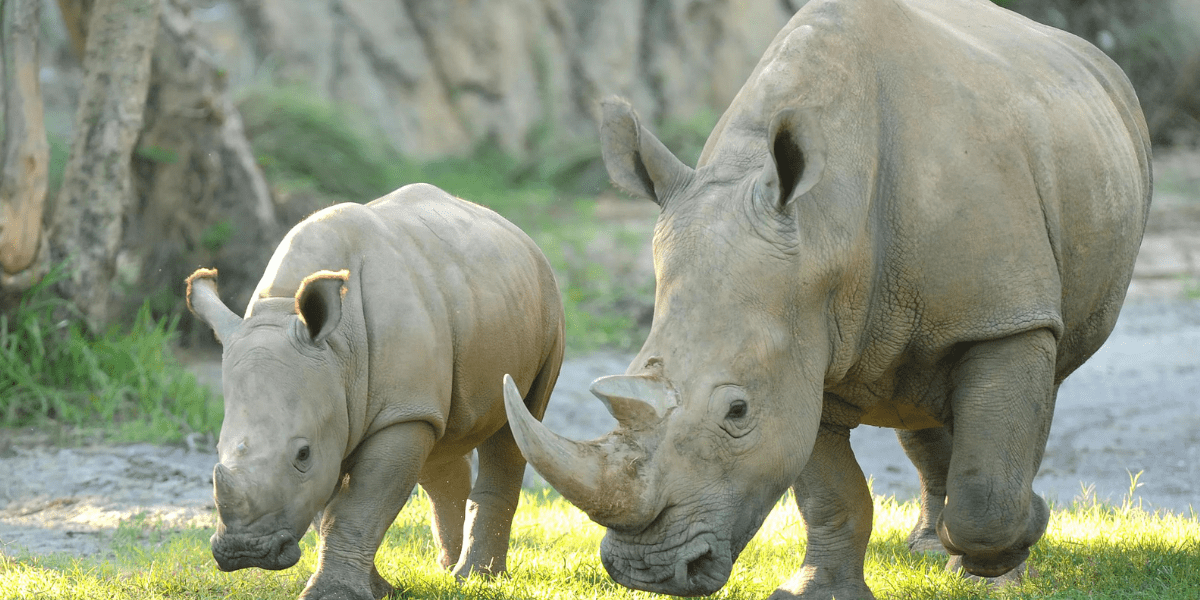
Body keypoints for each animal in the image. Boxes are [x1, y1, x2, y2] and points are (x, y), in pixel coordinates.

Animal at [186, 183, 564, 600]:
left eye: (302, 454)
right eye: (217, 450)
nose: (245, 552)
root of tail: (518, 233)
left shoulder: (394, 414)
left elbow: (358, 506)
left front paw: (333, 594)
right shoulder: (341, 403)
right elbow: (332, 507)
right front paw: (379, 590)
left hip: (546, 302)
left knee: (516, 425)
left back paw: (475, 578)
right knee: (441, 441)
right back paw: (449, 568)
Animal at [502, 0, 1152, 598]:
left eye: (737, 412)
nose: (648, 572)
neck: (826, 230)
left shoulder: (1003, 314)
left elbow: (989, 485)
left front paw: (1010, 557)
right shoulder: (803, 339)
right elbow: (829, 491)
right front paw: (817, 592)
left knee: (1032, 391)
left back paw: (987, 549)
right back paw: (927, 544)